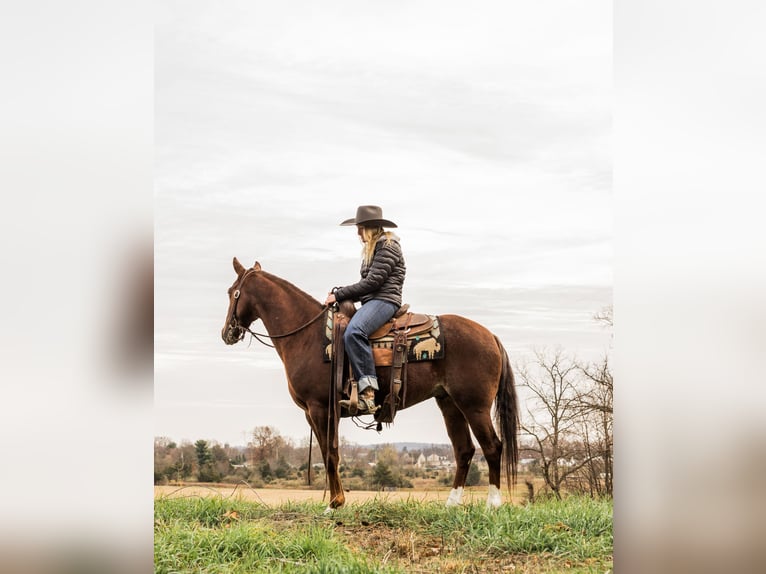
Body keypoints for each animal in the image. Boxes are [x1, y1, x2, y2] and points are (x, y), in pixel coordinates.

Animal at [222, 258, 520, 510]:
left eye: (231, 292)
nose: (227, 332)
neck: (308, 336)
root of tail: (491, 336)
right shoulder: (314, 413)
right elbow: (329, 453)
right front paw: (335, 501)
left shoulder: (320, 409)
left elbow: (330, 453)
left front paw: (335, 504)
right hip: (449, 404)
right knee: (464, 450)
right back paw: (451, 504)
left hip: (474, 406)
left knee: (492, 447)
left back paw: (493, 504)